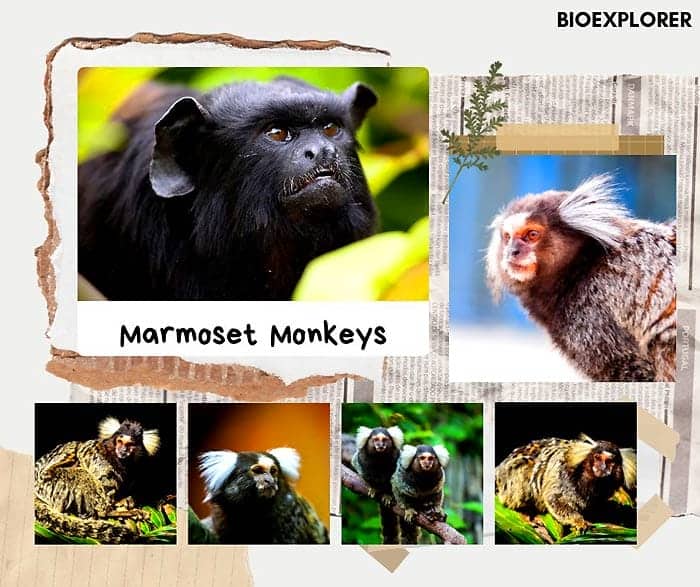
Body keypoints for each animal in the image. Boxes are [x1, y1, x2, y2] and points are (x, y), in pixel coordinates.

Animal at [495, 434, 636, 534]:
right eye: (597, 458)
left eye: (610, 462)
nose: (602, 468)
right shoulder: (563, 474)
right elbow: (554, 499)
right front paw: (578, 521)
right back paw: (524, 512)